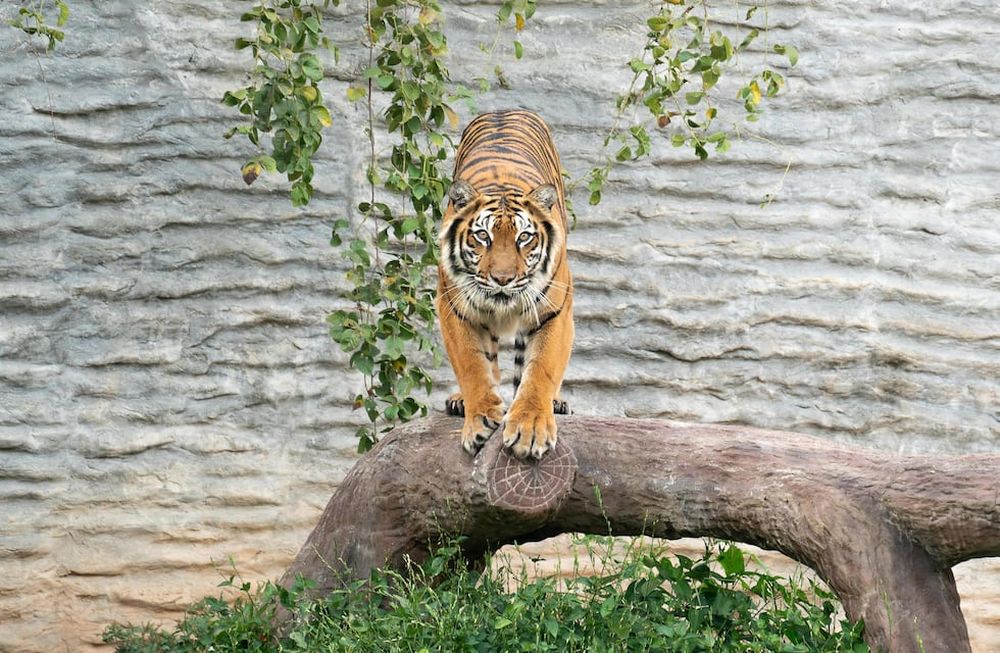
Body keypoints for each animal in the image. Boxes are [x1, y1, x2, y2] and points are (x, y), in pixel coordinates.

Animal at [436, 109, 574, 460]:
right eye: (482, 236)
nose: (502, 279)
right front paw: (481, 417)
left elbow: (541, 370)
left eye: (524, 237)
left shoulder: (554, 312)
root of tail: (505, 109)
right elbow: (472, 364)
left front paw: (531, 427)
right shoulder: (454, 307)